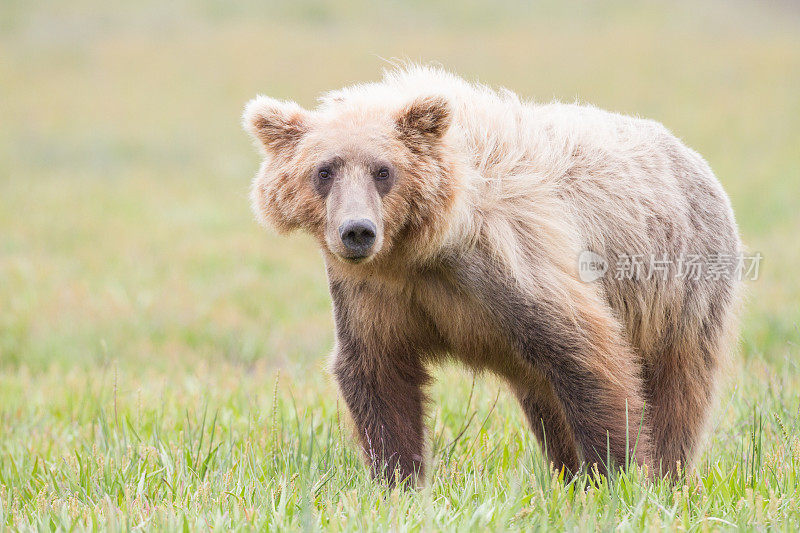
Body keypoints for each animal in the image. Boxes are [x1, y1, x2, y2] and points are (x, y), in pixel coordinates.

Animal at [241, 65, 740, 482]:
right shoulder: (373, 292)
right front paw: (398, 480)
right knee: (546, 402)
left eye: (384, 170)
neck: (423, 247)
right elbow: (378, 373)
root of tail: (691, 156)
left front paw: (620, 474)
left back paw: (669, 473)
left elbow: (590, 358)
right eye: (324, 170)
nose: (357, 231)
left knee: (678, 387)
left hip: (678, 287)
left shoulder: (511, 261)